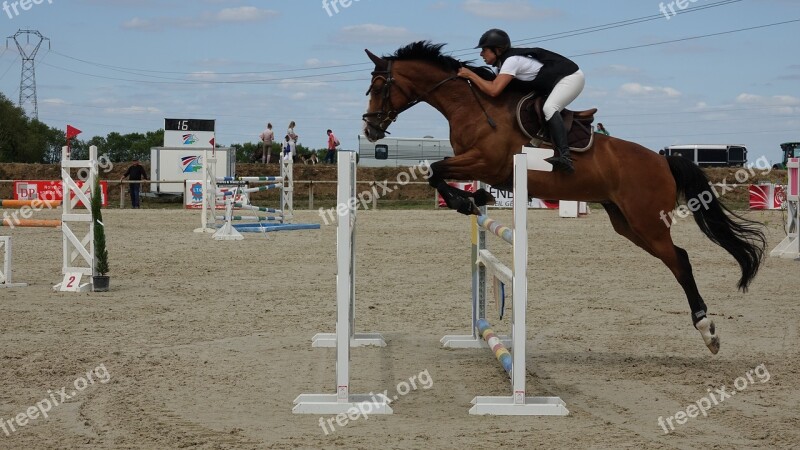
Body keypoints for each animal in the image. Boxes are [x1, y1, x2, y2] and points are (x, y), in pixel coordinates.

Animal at [360, 40, 764, 354]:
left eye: (379, 85)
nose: (370, 128)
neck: (471, 104)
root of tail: (663, 159)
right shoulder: (474, 163)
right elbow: (439, 174)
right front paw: (476, 198)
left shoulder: (485, 161)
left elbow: (435, 170)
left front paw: (467, 201)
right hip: (626, 223)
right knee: (676, 256)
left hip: (647, 221)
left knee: (680, 260)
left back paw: (707, 330)